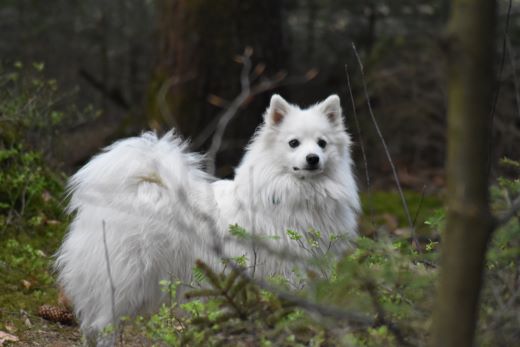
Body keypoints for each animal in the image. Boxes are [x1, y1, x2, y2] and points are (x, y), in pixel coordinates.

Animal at [54, 94, 360, 346]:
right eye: (293, 143)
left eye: (322, 143)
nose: (313, 158)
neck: (294, 193)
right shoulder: (284, 273)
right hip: (125, 277)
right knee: (104, 323)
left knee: (90, 325)